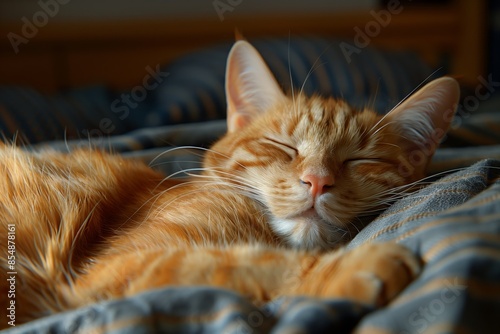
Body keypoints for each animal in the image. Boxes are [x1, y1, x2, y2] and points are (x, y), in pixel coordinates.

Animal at [0, 39, 460, 328]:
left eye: (360, 160)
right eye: (283, 147)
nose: (317, 181)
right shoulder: (114, 268)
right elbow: (237, 263)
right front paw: (347, 266)